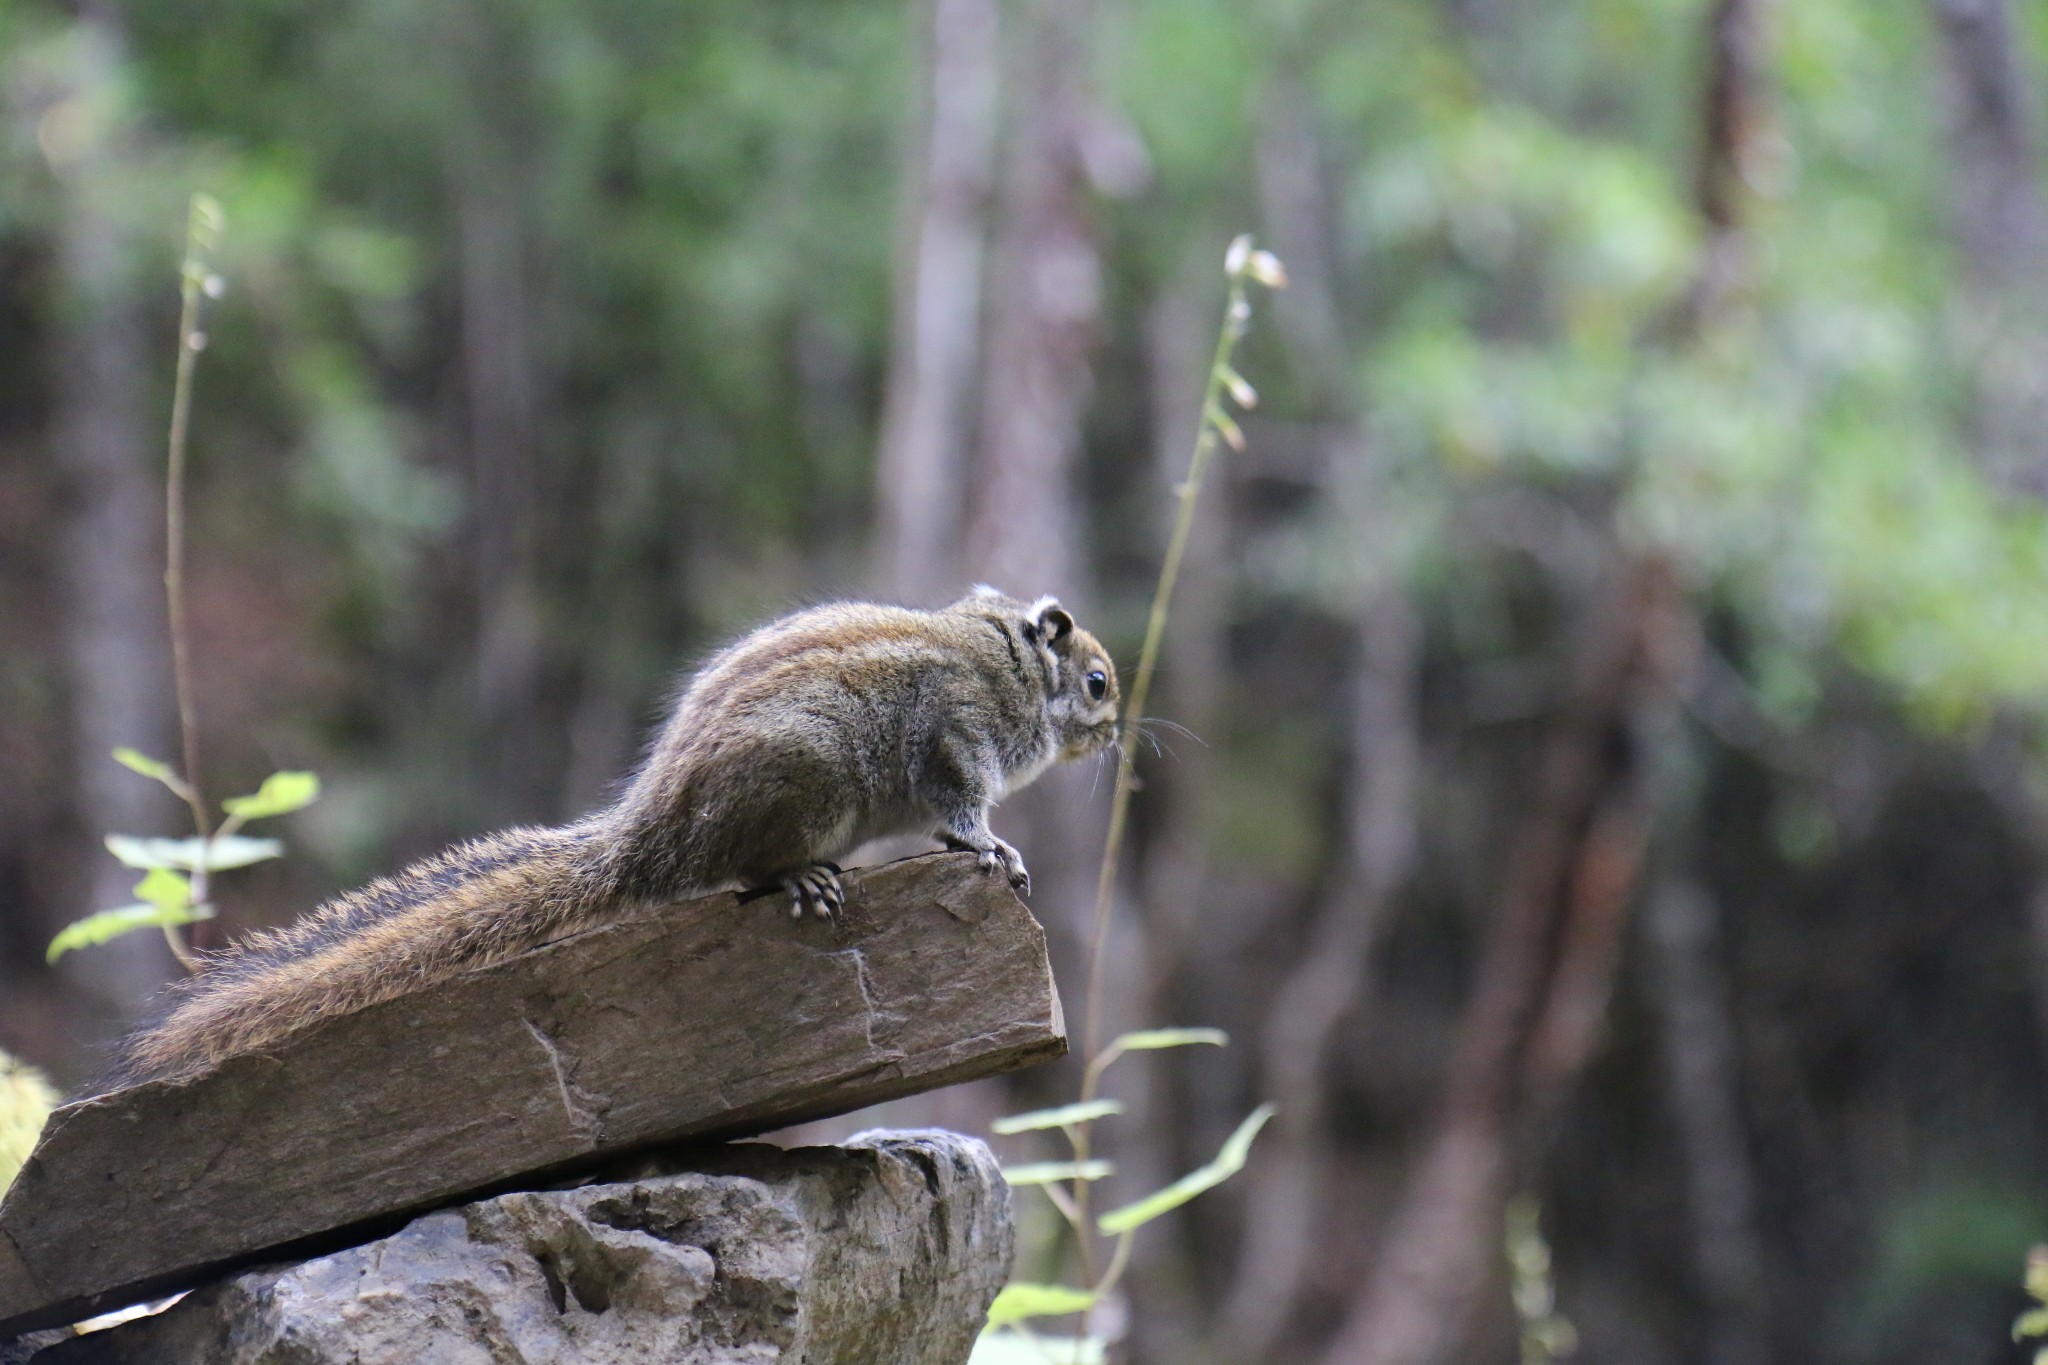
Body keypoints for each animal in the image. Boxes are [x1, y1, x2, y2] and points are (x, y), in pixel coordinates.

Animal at [103, 593, 1122, 1096]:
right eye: (1101, 682)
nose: (1118, 736)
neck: (1010, 664)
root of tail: (654, 839)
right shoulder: (955, 735)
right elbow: (962, 808)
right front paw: (994, 850)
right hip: (807, 777)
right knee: (750, 868)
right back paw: (802, 877)